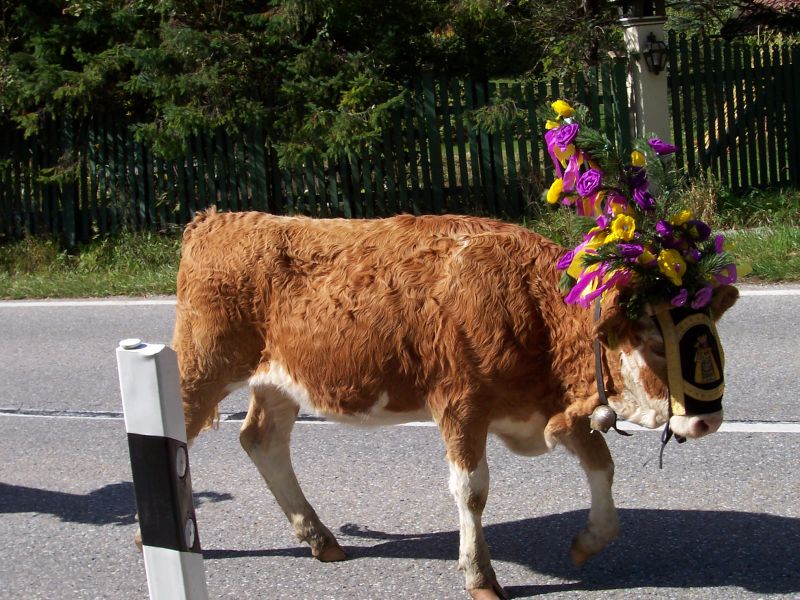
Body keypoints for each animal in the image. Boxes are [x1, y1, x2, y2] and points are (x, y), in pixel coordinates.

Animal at [173, 209, 736, 596]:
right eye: (657, 341)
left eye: (712, 331)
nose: (707, 419)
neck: (530, 302)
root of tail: (219, 220)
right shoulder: (460, 404)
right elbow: (472, 491)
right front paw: (480, 576)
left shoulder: (556, 408)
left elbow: (603, 469)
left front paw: (588, 540)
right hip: (200, 371)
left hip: (278, 383)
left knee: (262, 441)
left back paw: (319, 538)